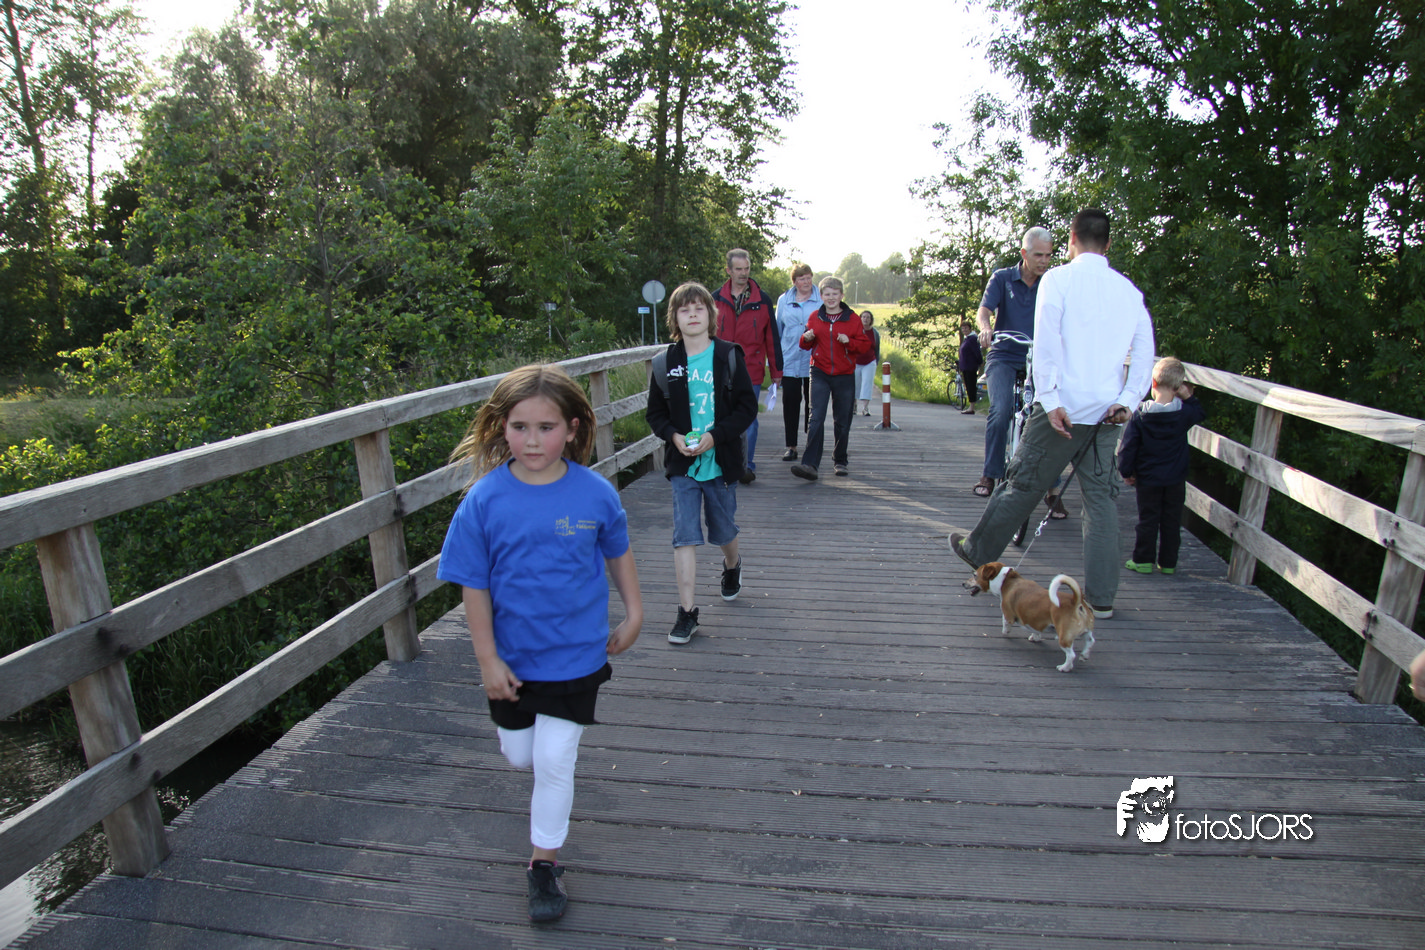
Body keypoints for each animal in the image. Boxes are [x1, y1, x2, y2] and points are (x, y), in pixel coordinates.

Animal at [963, 562, 1095, 672]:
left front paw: (1006, 632)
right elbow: (1036, 630)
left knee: (1071, 655)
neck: (1007, 581)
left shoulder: (1007, 614)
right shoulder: (1035, 620)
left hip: (1064, 638)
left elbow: (1005, 624)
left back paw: (1064, 667)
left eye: (975, 575)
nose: (963, 583)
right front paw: (1035, 637)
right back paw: (1085, 655)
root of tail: (1076, 602)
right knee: (1090, 641)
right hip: (1086, 632)